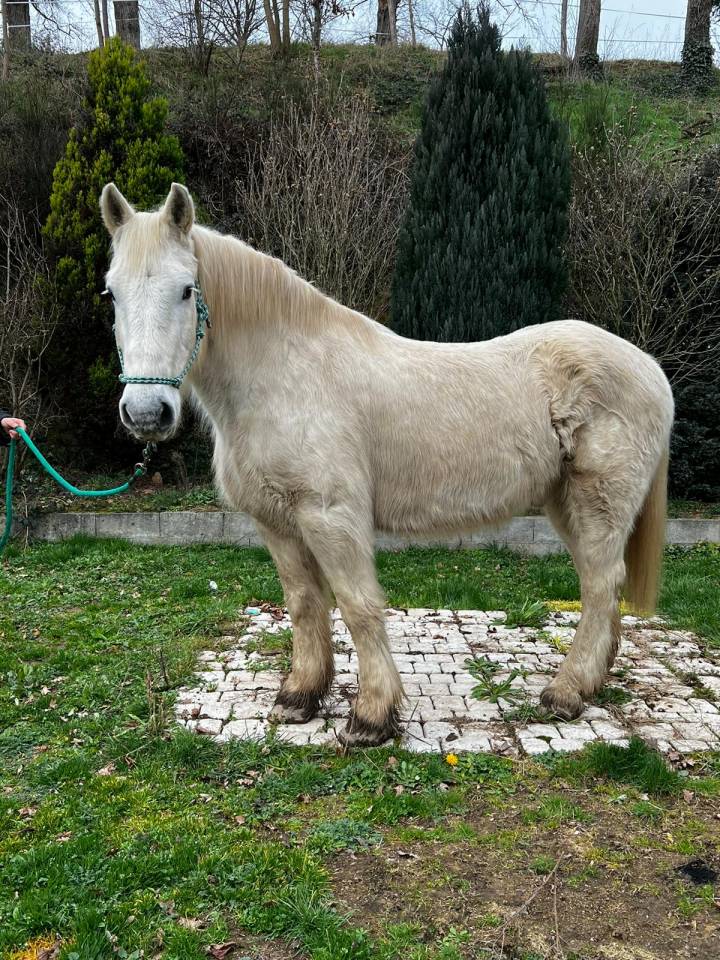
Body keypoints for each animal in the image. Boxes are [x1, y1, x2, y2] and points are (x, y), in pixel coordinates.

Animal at [100, 181, 674, 747]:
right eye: (112, 293)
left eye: (185, 290)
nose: (146, 413)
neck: (284, 375)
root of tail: (648, 366)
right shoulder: (277, 522)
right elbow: (305, 603)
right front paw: (301, 696)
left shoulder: (331, 516)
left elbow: (358, 606)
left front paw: (372, 716)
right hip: (565, 503)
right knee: (598, 586)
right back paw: (591, 682)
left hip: (598, 503)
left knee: (600, 586)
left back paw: (566, 693)